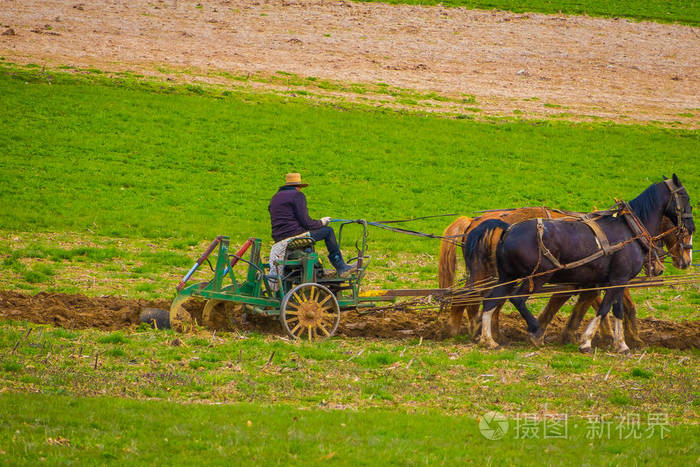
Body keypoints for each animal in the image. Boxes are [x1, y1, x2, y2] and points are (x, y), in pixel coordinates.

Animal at [468, 176, 692, 354]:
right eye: (686, 198)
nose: (691, 226)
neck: (630, 230)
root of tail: (508, 229)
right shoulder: (617, 279)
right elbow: (604, 308)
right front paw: (586, 342)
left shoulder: (615, 281)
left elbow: (617, 310)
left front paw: (621, 344)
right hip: (538, 277)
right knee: (517, 299)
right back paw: (534, 330)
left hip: (508, 276)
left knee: (489, 301)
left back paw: (488, 340)